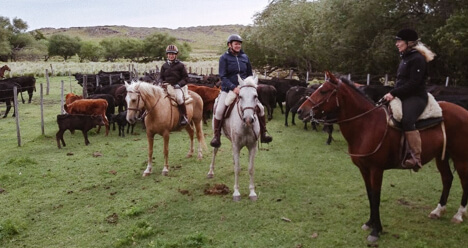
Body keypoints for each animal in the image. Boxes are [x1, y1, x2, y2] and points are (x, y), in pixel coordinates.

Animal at [298, 71, 466, 242]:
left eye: (324, 91)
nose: (300, 111)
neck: (367, 125)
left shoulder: (376, 169)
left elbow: (376, 196)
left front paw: (376, 230)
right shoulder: (364, 169)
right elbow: (370, 194)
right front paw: (370, 223)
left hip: (461, 158)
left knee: (464, 182)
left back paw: (459, 215)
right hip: (442, 156)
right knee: (447, 179)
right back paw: (438, 211)